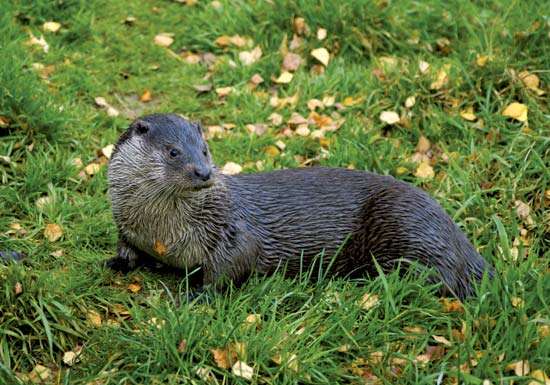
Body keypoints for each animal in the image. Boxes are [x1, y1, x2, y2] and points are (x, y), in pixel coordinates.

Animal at [105, 112, 494, 298]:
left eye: (204, 150)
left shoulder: (233, 230)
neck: (162, 232)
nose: (203, 172)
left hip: (408, 226)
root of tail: (459, 238)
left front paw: (196, 296)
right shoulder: (127, 225)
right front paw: (116, 262)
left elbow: (230, 267)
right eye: (173, 151)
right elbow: (126, 248)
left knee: (440, 279)